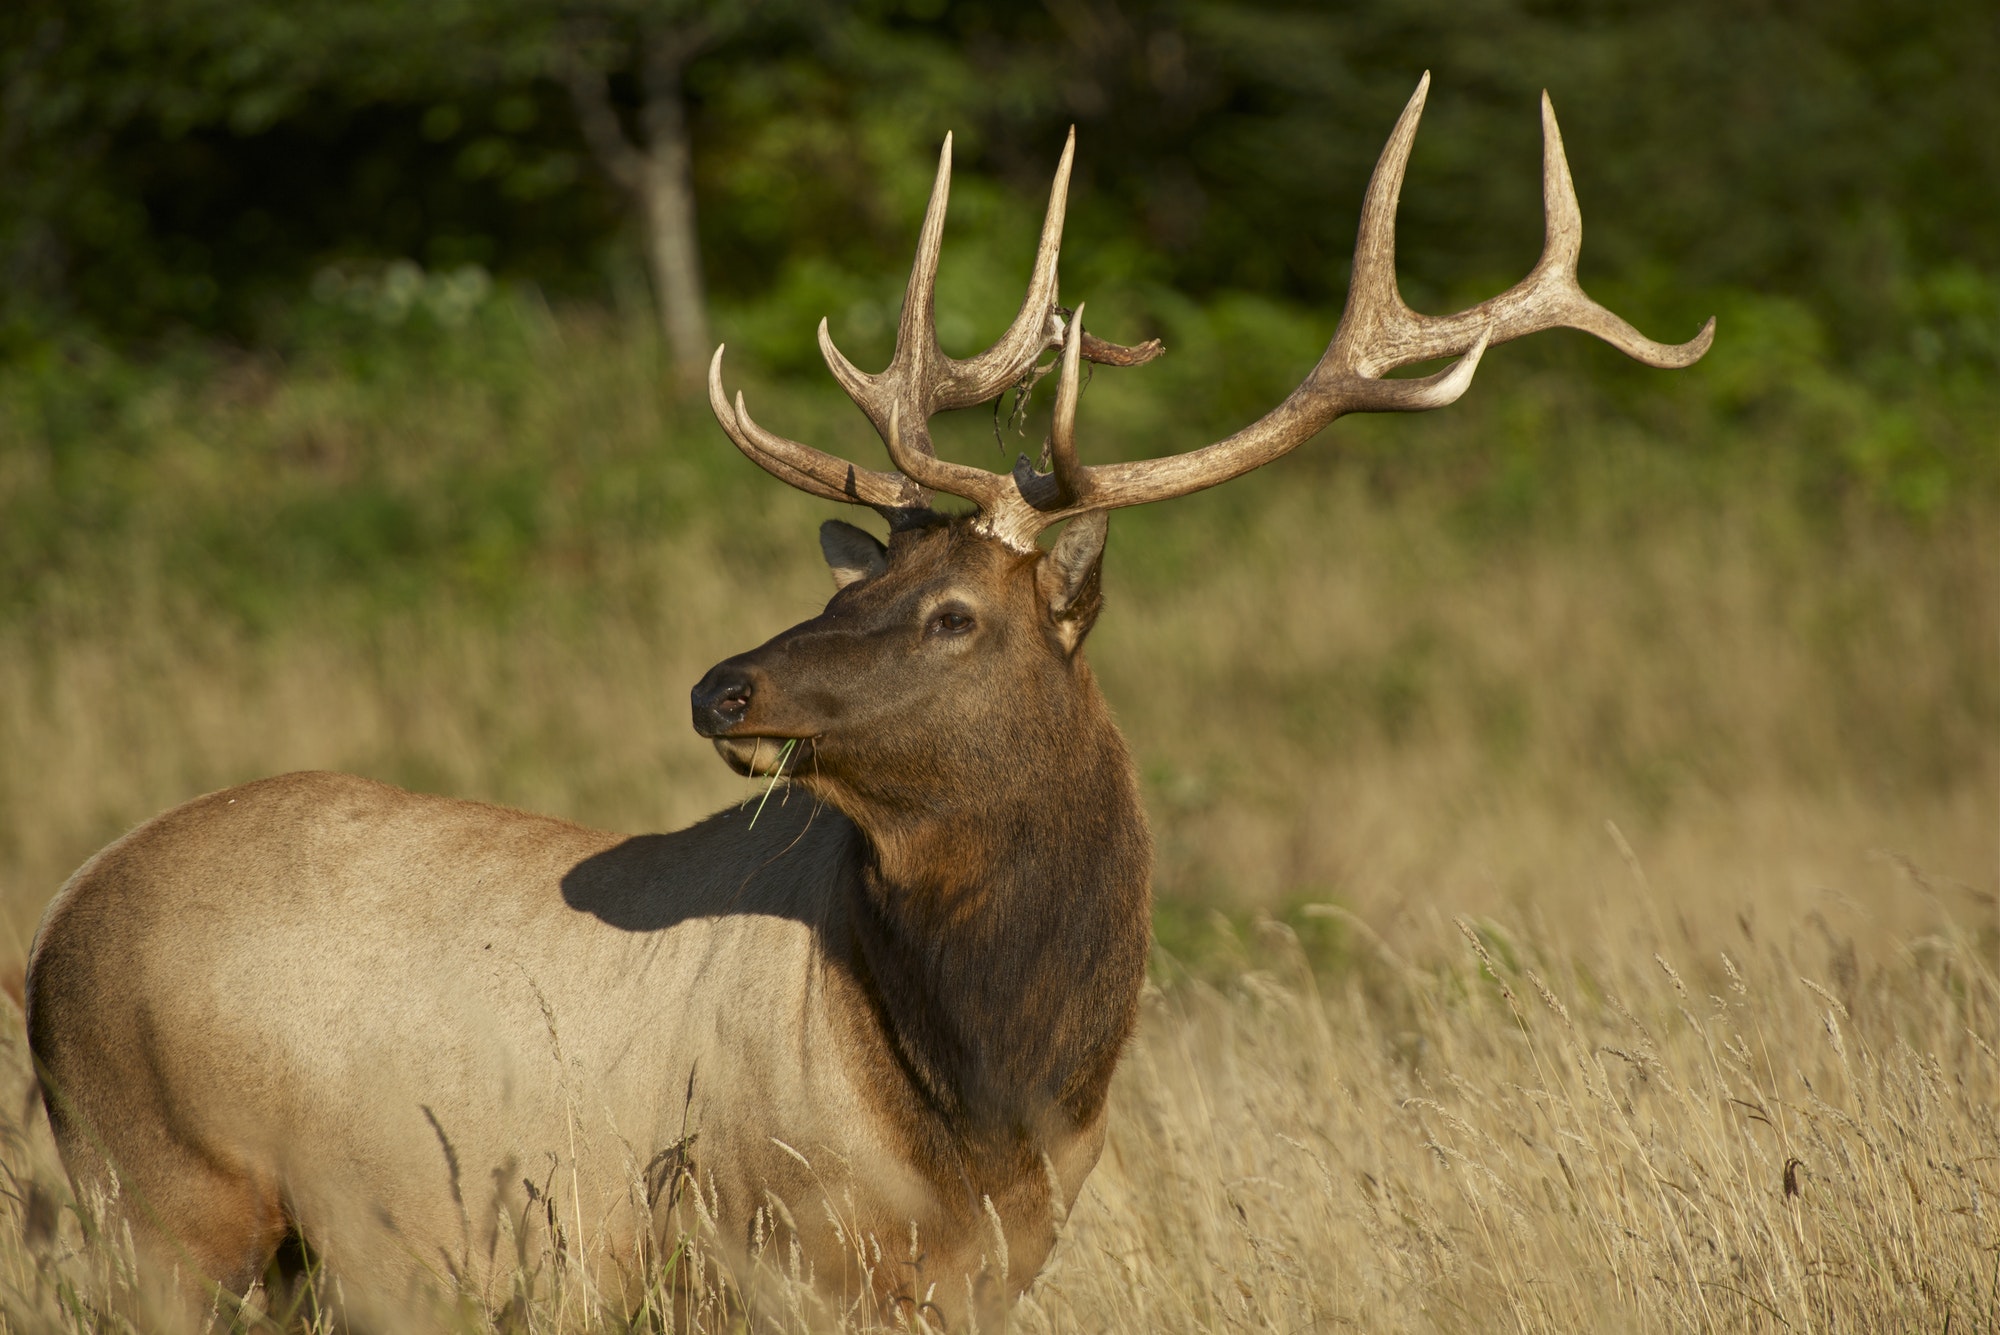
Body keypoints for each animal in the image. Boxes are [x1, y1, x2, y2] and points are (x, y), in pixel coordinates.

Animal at [23, 78, 1712, 1327]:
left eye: (951, 612)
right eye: (850, 588)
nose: (723, 681)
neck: (987, 1099)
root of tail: (54, 918)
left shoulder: (986, 1275)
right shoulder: (757, 1253)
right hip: (160, 1200)